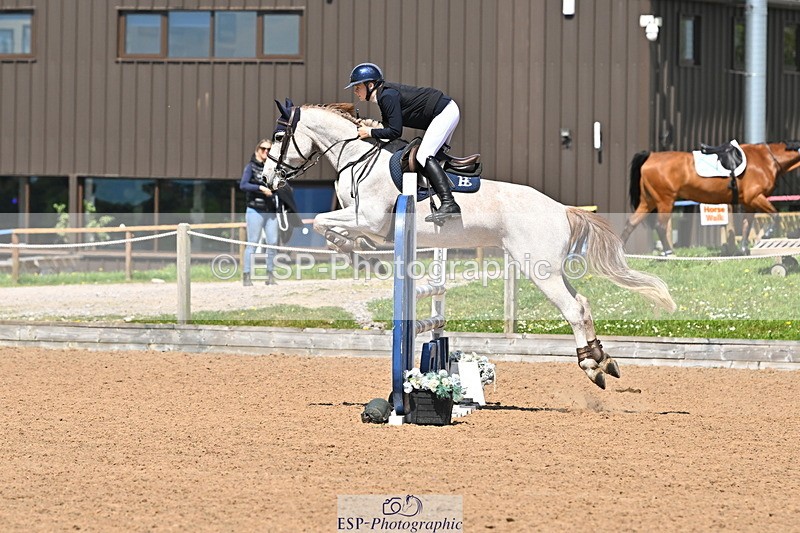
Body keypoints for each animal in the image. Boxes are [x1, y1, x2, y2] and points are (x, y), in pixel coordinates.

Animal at [260, 100, 676, 389]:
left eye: (279, 138)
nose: (266, 180)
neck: (357, 157)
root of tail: (561, 209)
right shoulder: (365, 221)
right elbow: (329, 228)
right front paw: (360, 258)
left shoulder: (371, 220)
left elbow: (323, 223)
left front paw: (364, 261)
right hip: (549, 269)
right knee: (584, 304)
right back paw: (603, 361)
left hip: (538, 270)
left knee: (573, 310)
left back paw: (590, 366)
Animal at [620, 142, 800, 255]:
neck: (767, 159)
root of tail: (651, 157)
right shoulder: (755, 197)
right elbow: (775, 215)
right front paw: (768, 234)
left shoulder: (750, 203)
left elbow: (747, 226)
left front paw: (743, 250)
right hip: (665, 201)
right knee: (660, 226)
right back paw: (669, 252)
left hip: (648, 202)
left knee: (631, 223)